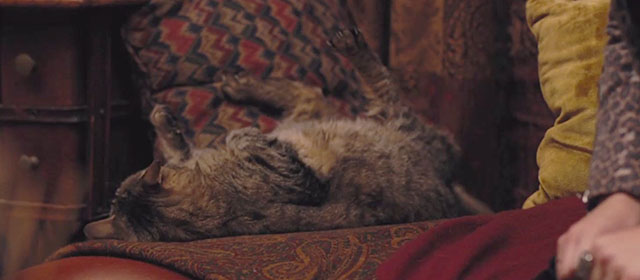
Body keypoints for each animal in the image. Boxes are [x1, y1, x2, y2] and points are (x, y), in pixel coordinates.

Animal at [85, 29, 484, 243]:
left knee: (311, 95)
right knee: (367, 84)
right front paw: (237, 134)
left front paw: (166, 120)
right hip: (388, 115)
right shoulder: (300, 180)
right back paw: (348, 46)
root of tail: (450, 178)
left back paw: (239, 84)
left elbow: (179, 145)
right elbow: (213, 144)